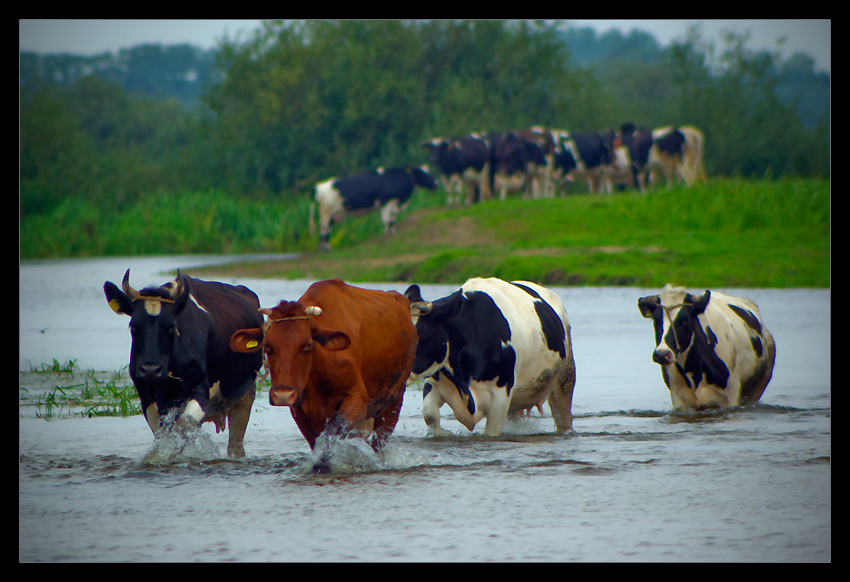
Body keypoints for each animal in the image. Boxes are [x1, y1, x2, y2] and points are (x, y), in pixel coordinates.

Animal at [102, 270, 262, 460]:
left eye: (171, 327)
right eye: (134, 326)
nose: (150, 370)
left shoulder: (200, 392)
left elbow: (182, 427)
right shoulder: (148, 400)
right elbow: (165, 434)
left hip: (245, 392)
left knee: (235, 445)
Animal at [229, 280, 418, 458]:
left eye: (307, 345)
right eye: (268, 346)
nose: (283, 394)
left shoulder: (356, 398)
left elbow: (333, 431)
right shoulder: (299, 410)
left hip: (393, 402)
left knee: (379, 441)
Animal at [404, 278, 576, 438]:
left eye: (422, 335)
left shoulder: (499, 399)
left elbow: (490, 433)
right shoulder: (434, 382)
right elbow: (430, 414)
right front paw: (443, 433)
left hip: (565, 376)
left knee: (563, 415)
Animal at [636, 286, 776, 412]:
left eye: (685, 320)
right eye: (656, 320)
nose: (662, 354)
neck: (696, 371)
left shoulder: (731, 396)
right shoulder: (679, 399)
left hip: (759, 385)